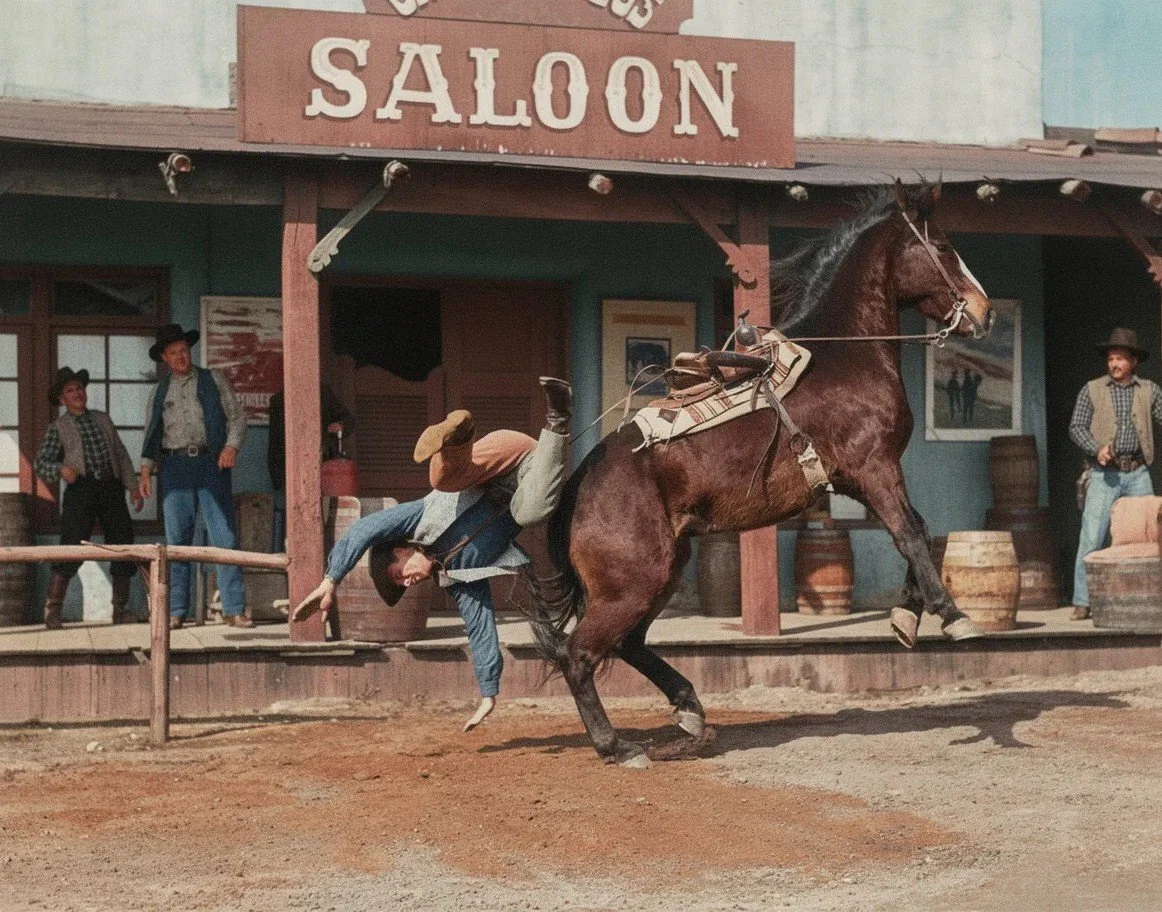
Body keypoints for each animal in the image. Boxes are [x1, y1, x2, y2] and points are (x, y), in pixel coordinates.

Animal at [526, 181, 995, 766]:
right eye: (946, 246)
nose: (985, 310)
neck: (846, 356)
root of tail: (577, 487)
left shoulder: (858, 479)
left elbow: (920, 532)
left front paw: (907, 617)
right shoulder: (873, 466)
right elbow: (909, 533)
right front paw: (952, 616)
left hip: (661, 572)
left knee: (628, 645)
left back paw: (689, 711)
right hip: (633, 585)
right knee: (580, 655)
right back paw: (618, 745)